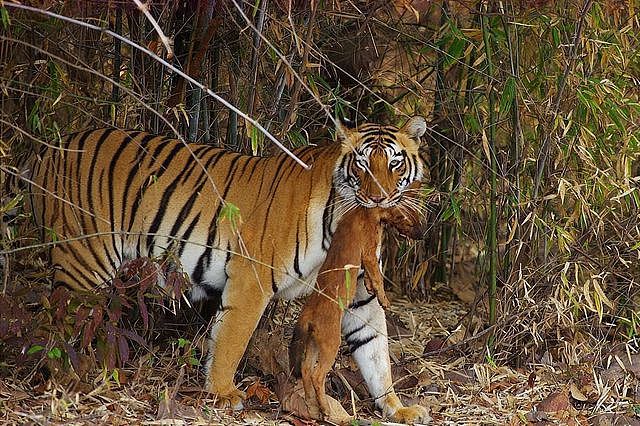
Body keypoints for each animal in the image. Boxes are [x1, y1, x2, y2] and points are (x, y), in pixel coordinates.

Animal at [23, 116, 429, 423]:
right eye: (362, 164)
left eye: (394, 163)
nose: (378, 198)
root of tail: (49, 147)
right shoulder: (252, 278)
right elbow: (232, 338)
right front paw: (222, 393)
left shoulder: (360, 295)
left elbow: (376, 351)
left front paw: (398, 408)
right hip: (84, 260)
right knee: (56, 324)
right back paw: (68, 382)